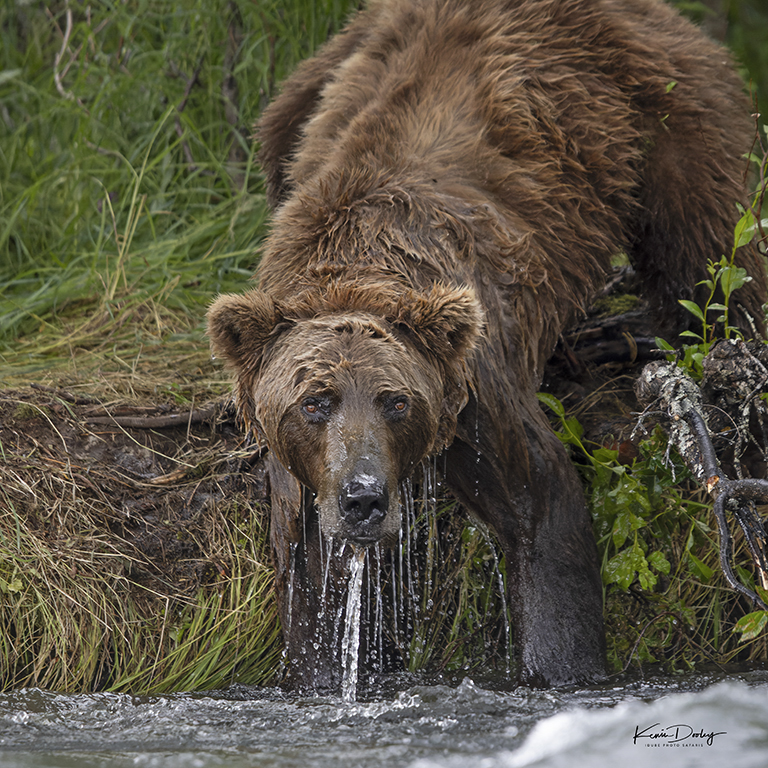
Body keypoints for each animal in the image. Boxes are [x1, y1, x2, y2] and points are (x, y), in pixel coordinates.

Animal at [207, 0, 764, 688]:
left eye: (396, 401)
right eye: (314, 402)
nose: (364, 498)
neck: (355, 260)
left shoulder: (473, 388)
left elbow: (539, 508)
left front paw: (562, 671)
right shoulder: (304, 471)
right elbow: (313, 574)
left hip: (659, 106)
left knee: (711, 250)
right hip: (304, 89)